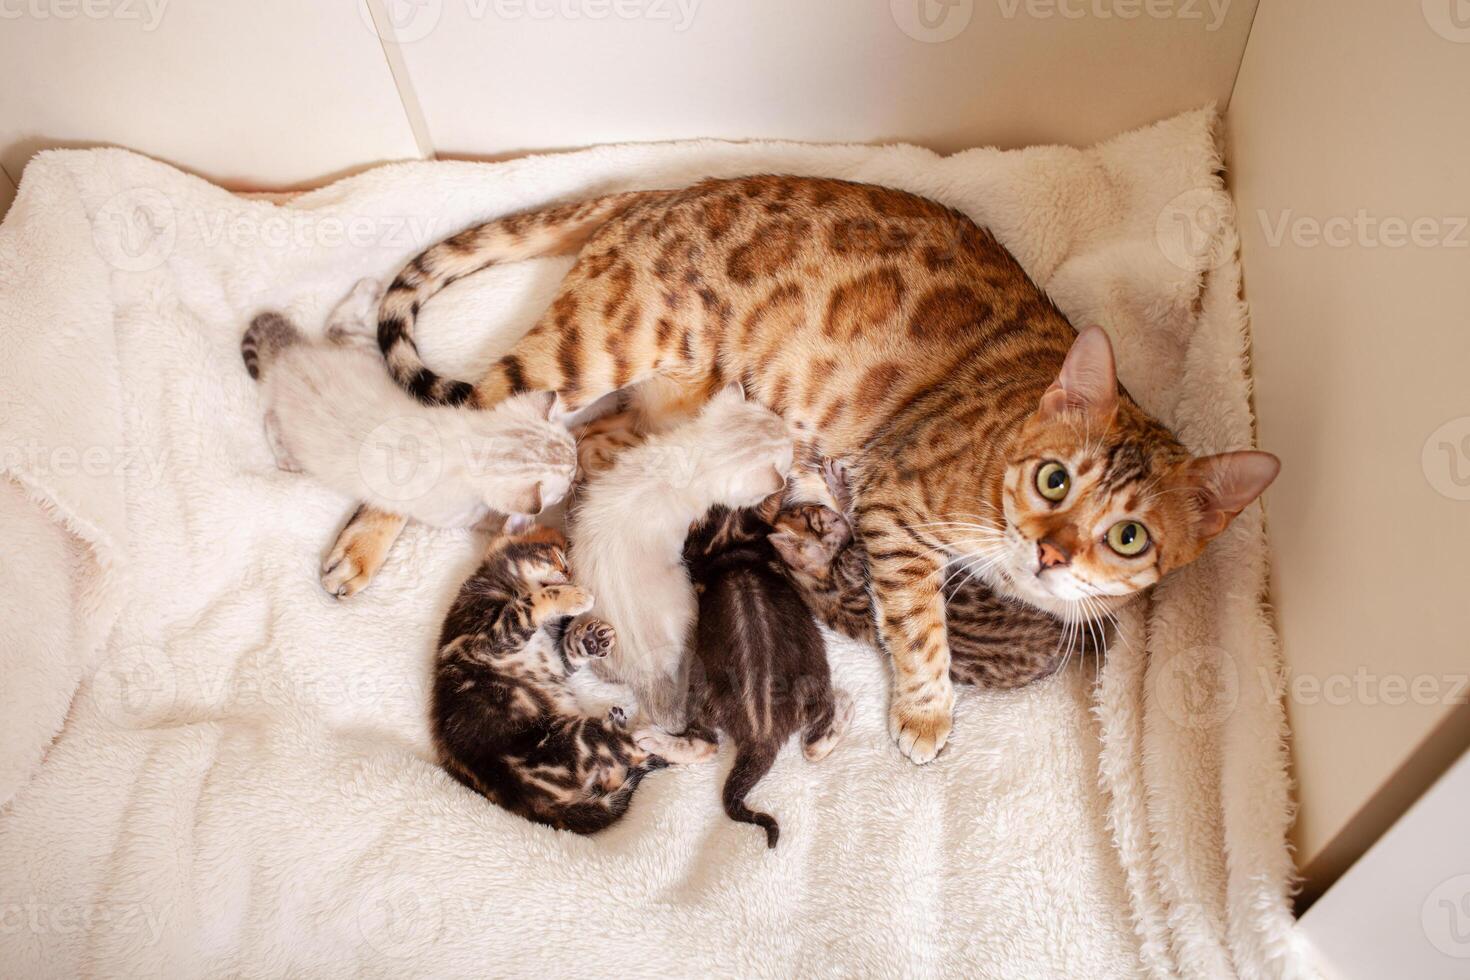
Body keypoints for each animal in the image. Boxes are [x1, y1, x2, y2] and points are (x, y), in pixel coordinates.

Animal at [239, 282, 573, 552]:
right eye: (567, 482)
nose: (576, 473)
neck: (470, 444)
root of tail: (291, 356)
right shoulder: (454, 515)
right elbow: (488, 519)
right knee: (269, 418)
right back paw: (286, 459)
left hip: (366, 355)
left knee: (337, 326)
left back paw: (368, 288)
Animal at [429, 520, 673, 834]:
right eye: (559, 559)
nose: (570, 577)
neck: (497, 584)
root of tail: (540, 806)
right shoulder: (486, 640)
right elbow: (529, 605)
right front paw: (573, 597)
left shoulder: (557, 663)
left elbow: (569, 653)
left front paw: (591, 639)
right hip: (576, 737)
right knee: (633, 751)